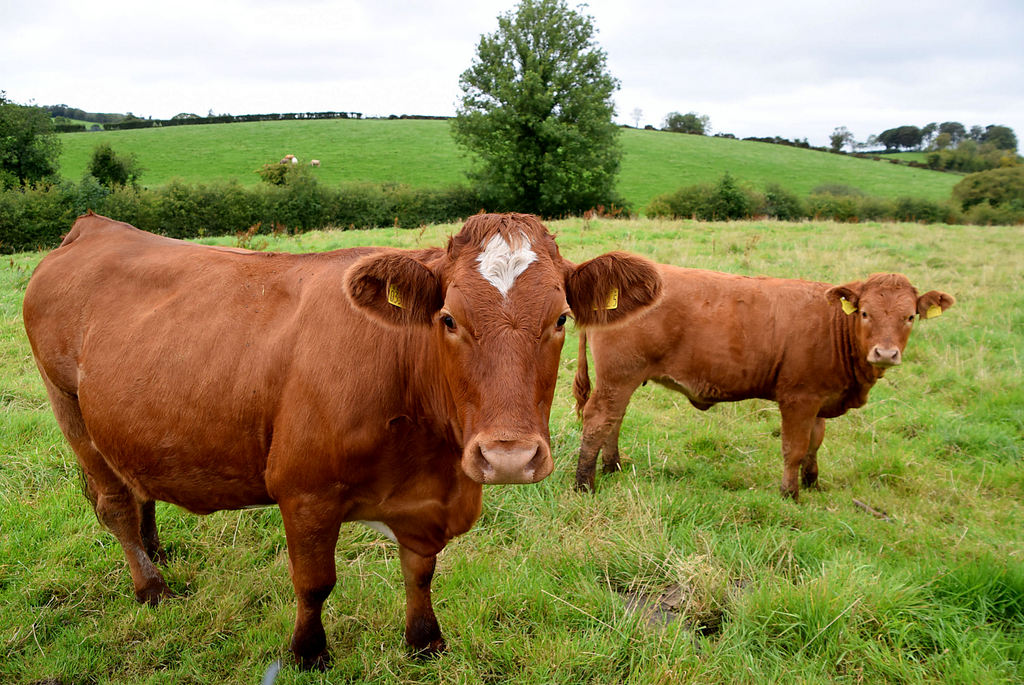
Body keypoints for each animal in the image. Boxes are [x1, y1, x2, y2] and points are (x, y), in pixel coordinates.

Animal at [25, 209, 663, 667]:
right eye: (448, 319)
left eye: (560, 318)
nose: (508, 456)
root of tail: (94, 227)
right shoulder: (304, 491)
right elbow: (315, 583)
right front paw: (308, 653)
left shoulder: (427, 500)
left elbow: (420, 570)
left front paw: (425, 641)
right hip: (69, 407)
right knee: (114, 504)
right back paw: (152, 586)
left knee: (138, 488)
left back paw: (155, 551)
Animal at [573, 266, 954, 497]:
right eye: (865, 313)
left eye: (910, 316)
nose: (885, 353)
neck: (833, 325)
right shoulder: (798, 398)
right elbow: (794, 448)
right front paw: (790, 494)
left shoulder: (819, 399)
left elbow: (815, 444)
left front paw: (812, 483)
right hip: (618, 377)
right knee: (598, 421)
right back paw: (585, 483)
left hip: (622, 381)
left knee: (614, 421)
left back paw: (613, 466)